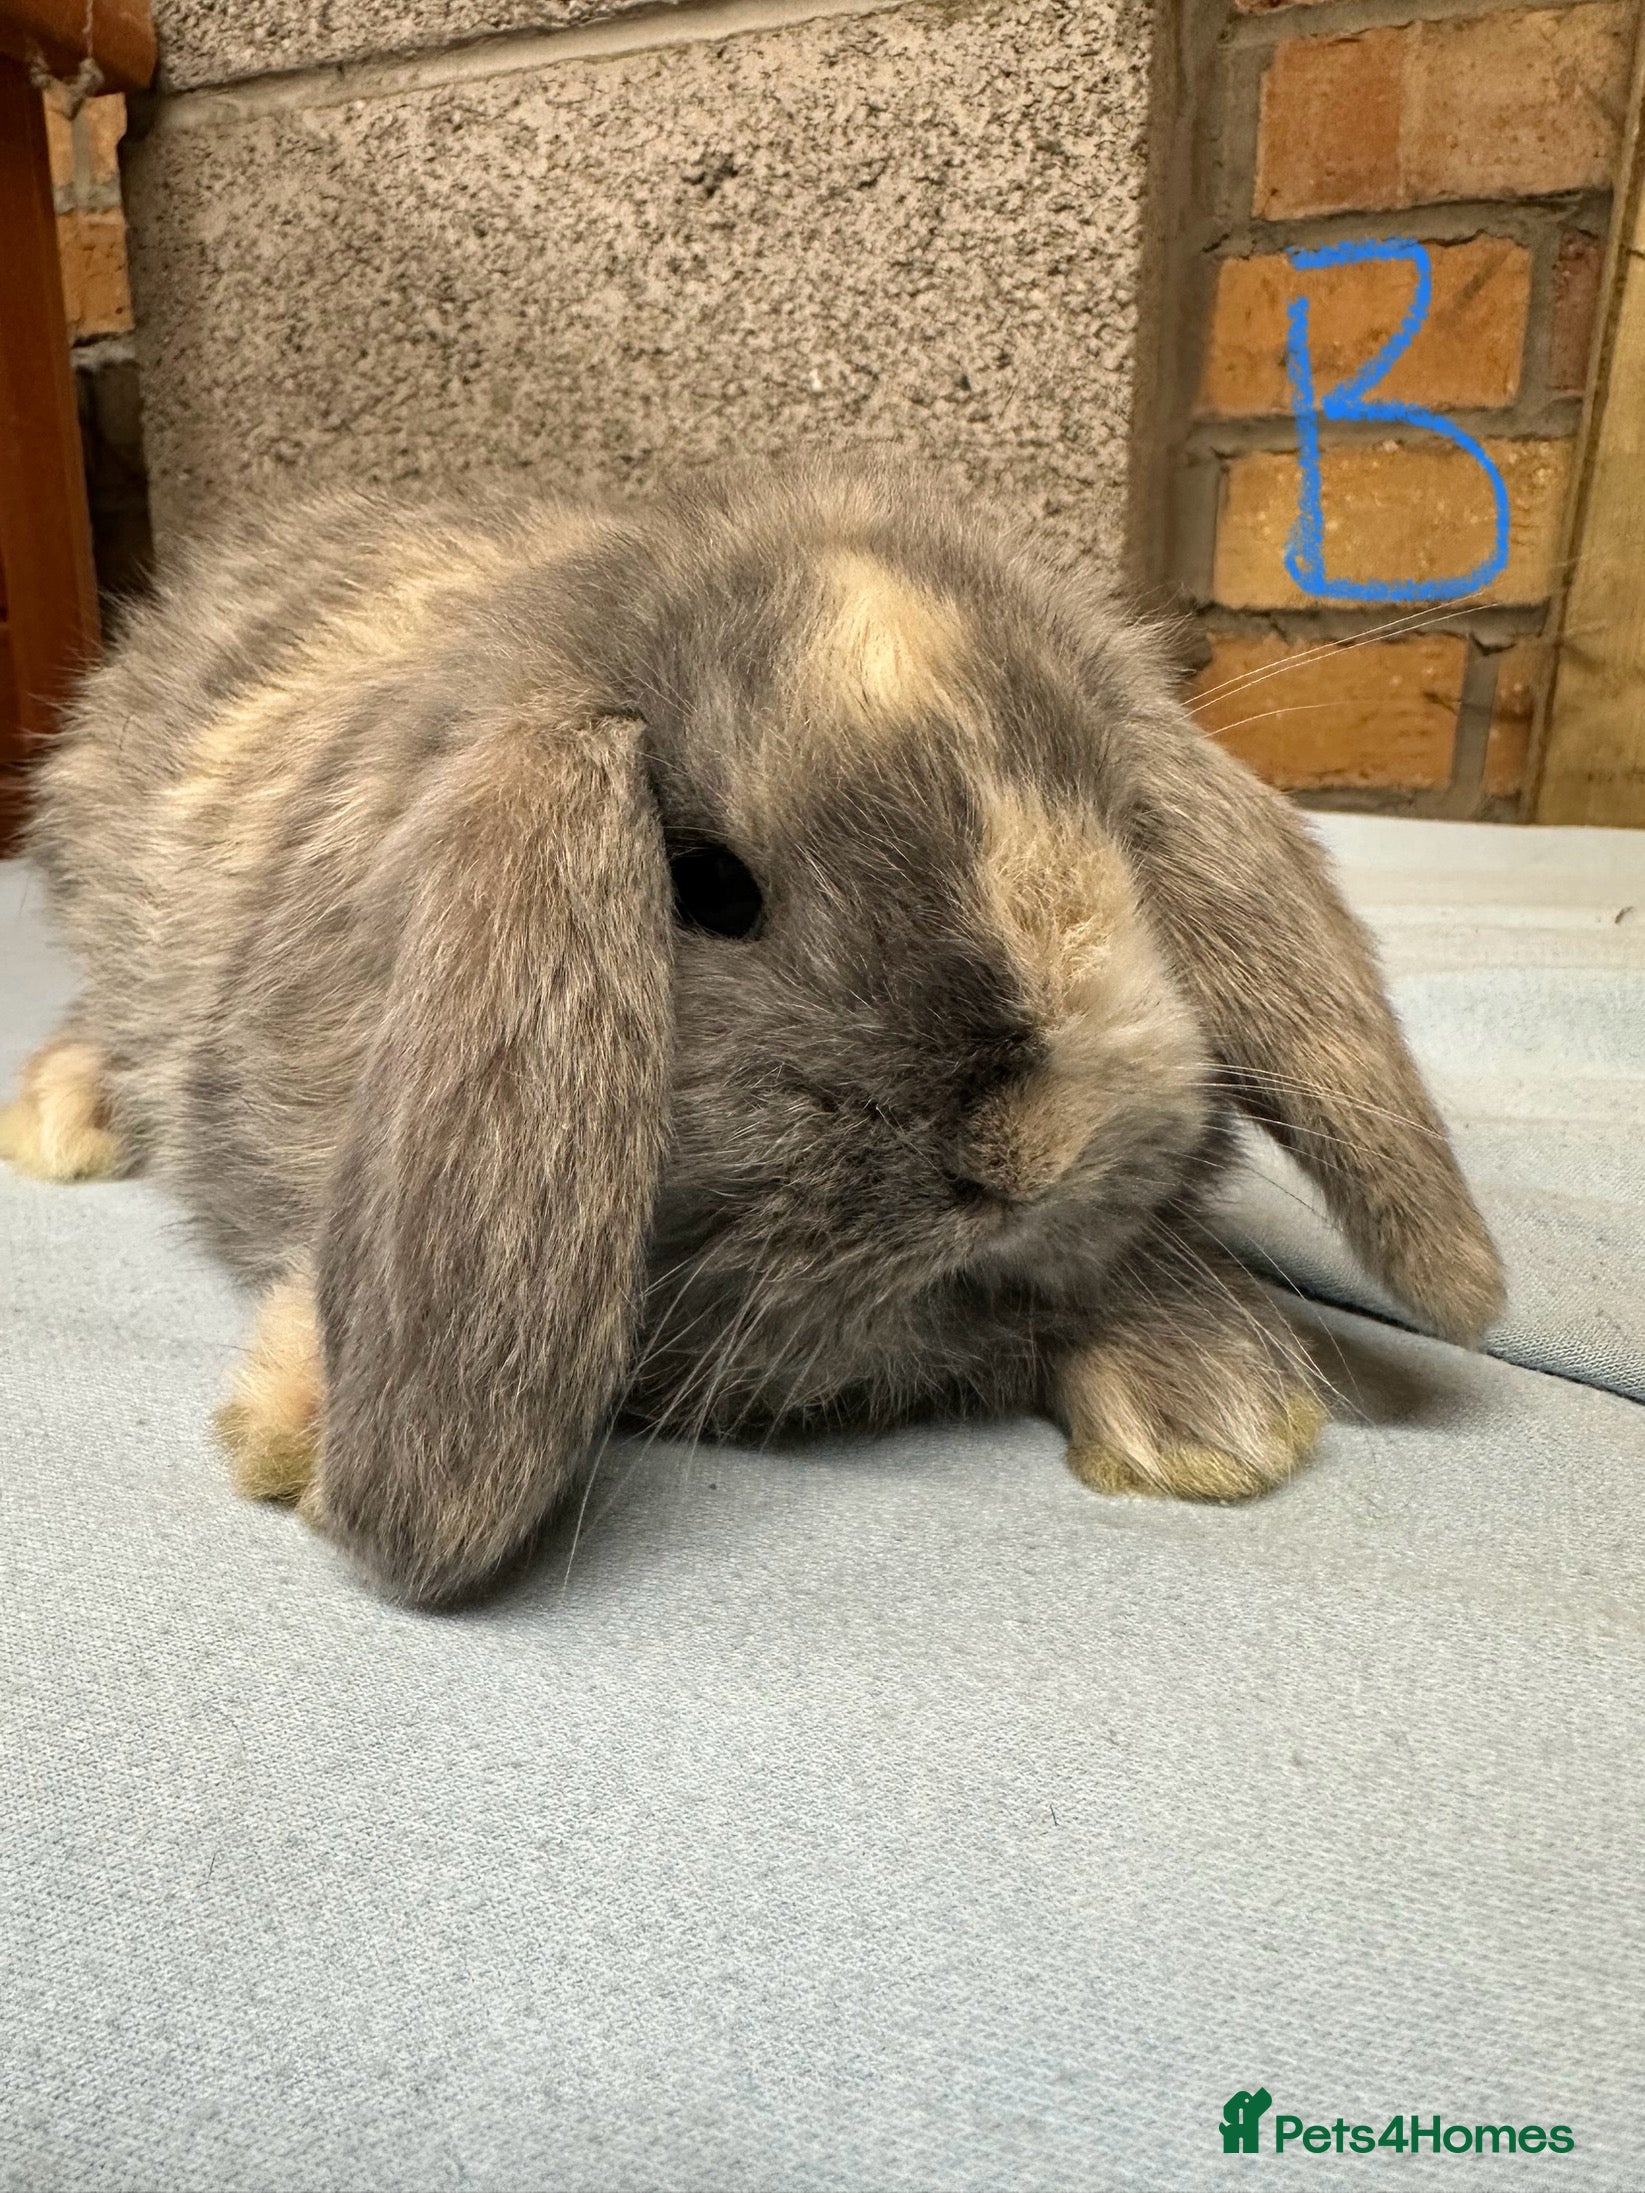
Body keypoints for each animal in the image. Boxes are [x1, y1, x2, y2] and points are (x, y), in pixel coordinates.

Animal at [1, 461, 1504, 1605]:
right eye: (710, 888)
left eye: (1123, 833)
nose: (1038, 1150)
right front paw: (302, 1432)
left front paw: (1212, 1409)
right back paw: (65, 1121)